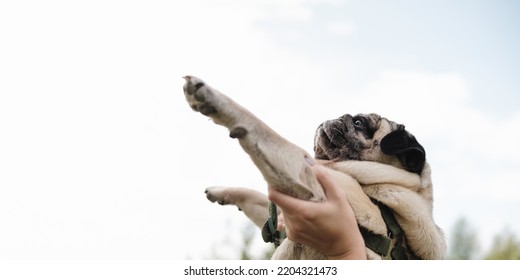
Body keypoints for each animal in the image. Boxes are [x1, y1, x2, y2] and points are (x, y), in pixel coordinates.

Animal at [181, 75, 444, 260]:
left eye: (359, 123)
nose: (339, 115)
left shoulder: (305, 177)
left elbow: (259, 127)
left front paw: (210, 96)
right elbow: (256, 198)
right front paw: (221, 191)